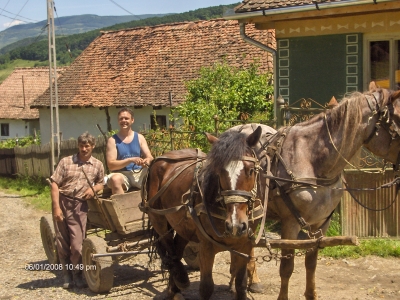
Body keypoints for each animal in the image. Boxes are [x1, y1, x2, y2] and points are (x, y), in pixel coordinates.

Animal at [144, 127, 266, 298]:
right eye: (219, 171)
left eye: (251, 170)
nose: (235, 225)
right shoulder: (206, 247)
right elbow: (206, 287)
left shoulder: (245, 245)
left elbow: (240, 285)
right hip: (158, 219)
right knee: (170, 250)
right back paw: (180, 279)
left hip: (184, 226)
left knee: (177, 248)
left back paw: (174, 288)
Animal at [228, 82, 400, 300]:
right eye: (398, 117)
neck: (312, 159)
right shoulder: (290, 223)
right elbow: (287, 267)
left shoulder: (321, 224)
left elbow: (311, 262)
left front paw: (311, 294)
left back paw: (252, 281)